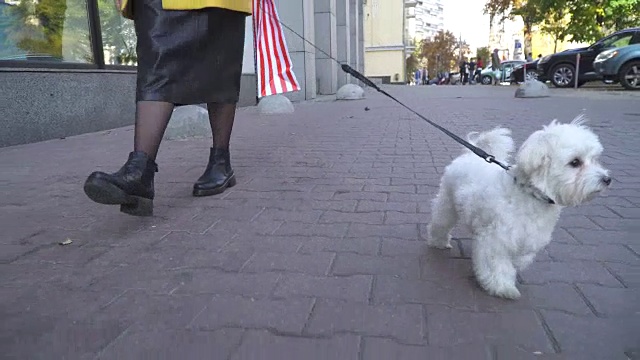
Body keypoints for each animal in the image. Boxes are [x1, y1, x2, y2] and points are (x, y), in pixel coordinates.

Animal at [424, 115, 608, 298]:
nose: (607, 179)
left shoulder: (530, 239)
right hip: (447, 204)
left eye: (595, 159)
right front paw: (502, 286)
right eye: (575, 162)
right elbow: (498, 265)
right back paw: (439, 241)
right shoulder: (496, 240)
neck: (531, 196)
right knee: (440, 222)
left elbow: (521, 258)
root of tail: (470, 155)